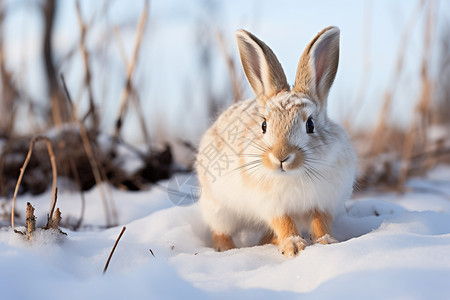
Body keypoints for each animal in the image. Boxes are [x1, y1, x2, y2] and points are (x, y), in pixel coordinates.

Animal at [196, 25, 356, 256]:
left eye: (310, 125)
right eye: (264, 125)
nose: (281, 157)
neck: (295, 174)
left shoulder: (322, 203)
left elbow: (320, 223)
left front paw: (327, 242)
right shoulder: (273, 205)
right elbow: (284, 223)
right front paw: (294, 247)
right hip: (219, 208)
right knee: (220, 230)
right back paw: (226, 248)